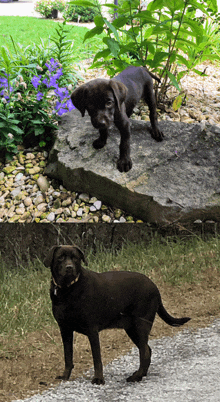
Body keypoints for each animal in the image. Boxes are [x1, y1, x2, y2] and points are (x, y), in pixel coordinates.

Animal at [43, 243, 190, 384]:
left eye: (75, 258)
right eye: (60, 257)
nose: (69, 267)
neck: (68, 289)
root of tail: (155, 287)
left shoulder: (92, 329)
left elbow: (97, 358)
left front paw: (99, 379)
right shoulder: (65, 329)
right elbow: (68, 357)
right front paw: (65, 377)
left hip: (141, 324)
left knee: (145, 352)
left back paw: (136, 377)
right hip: (131, 328)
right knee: (147, 350)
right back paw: (141, 374)